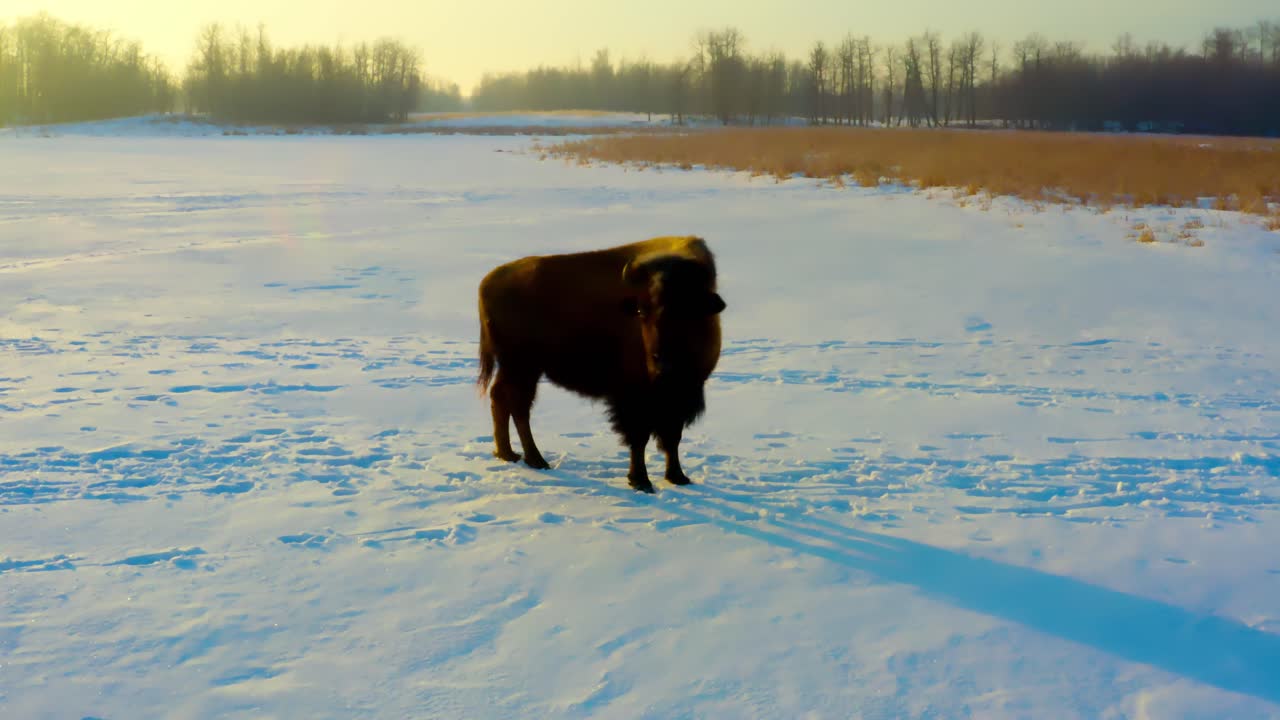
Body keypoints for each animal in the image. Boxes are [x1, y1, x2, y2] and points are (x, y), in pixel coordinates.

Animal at [476, 235, 725, 493]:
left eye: (687, 310)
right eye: (641, 311)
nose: (662, 365)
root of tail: (486, 283)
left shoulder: (682, 396)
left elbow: (672, 437)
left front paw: (678, 477)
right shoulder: (635, 398)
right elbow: (639, 438)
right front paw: (641, 481)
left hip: (519, 369)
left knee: (502, 399)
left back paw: (509, 454)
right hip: (522, 367)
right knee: (518, 407)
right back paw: (535, 460)